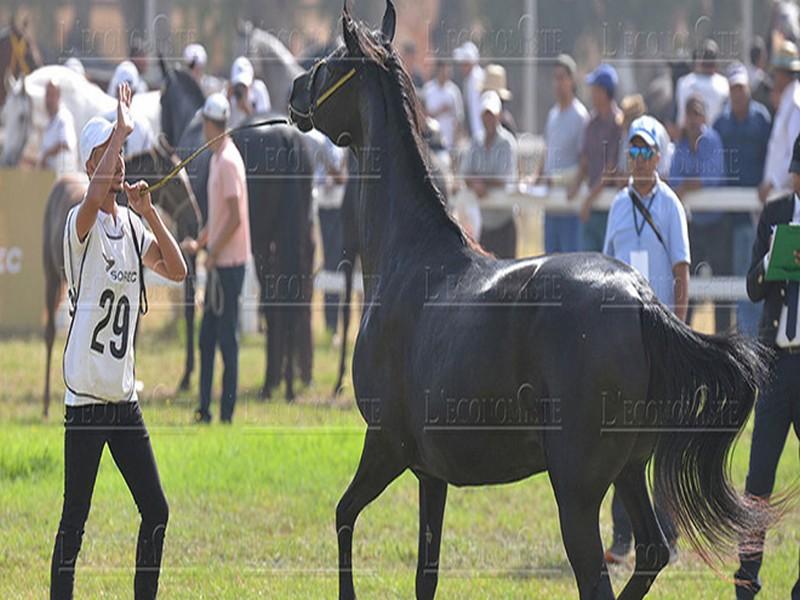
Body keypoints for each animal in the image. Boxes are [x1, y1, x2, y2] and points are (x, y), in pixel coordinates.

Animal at [158, 58, 314, 400]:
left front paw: (188, 375)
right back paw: (282, 383)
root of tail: (288, 138)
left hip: (260, 241)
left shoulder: (187, 241)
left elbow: (191, 304)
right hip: (285, 235)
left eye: (160, 99)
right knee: (285, 298)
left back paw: (272, 382)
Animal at [292, 2, 776, 596]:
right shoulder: (431, 473)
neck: (409, 258)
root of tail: (639, 299)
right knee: (652, 550)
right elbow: (425, 574)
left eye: (332, 60)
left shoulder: (385, 444)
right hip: (628, 471)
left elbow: (343, 514)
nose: (294, 91)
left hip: (576, 492)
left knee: (600, 576)